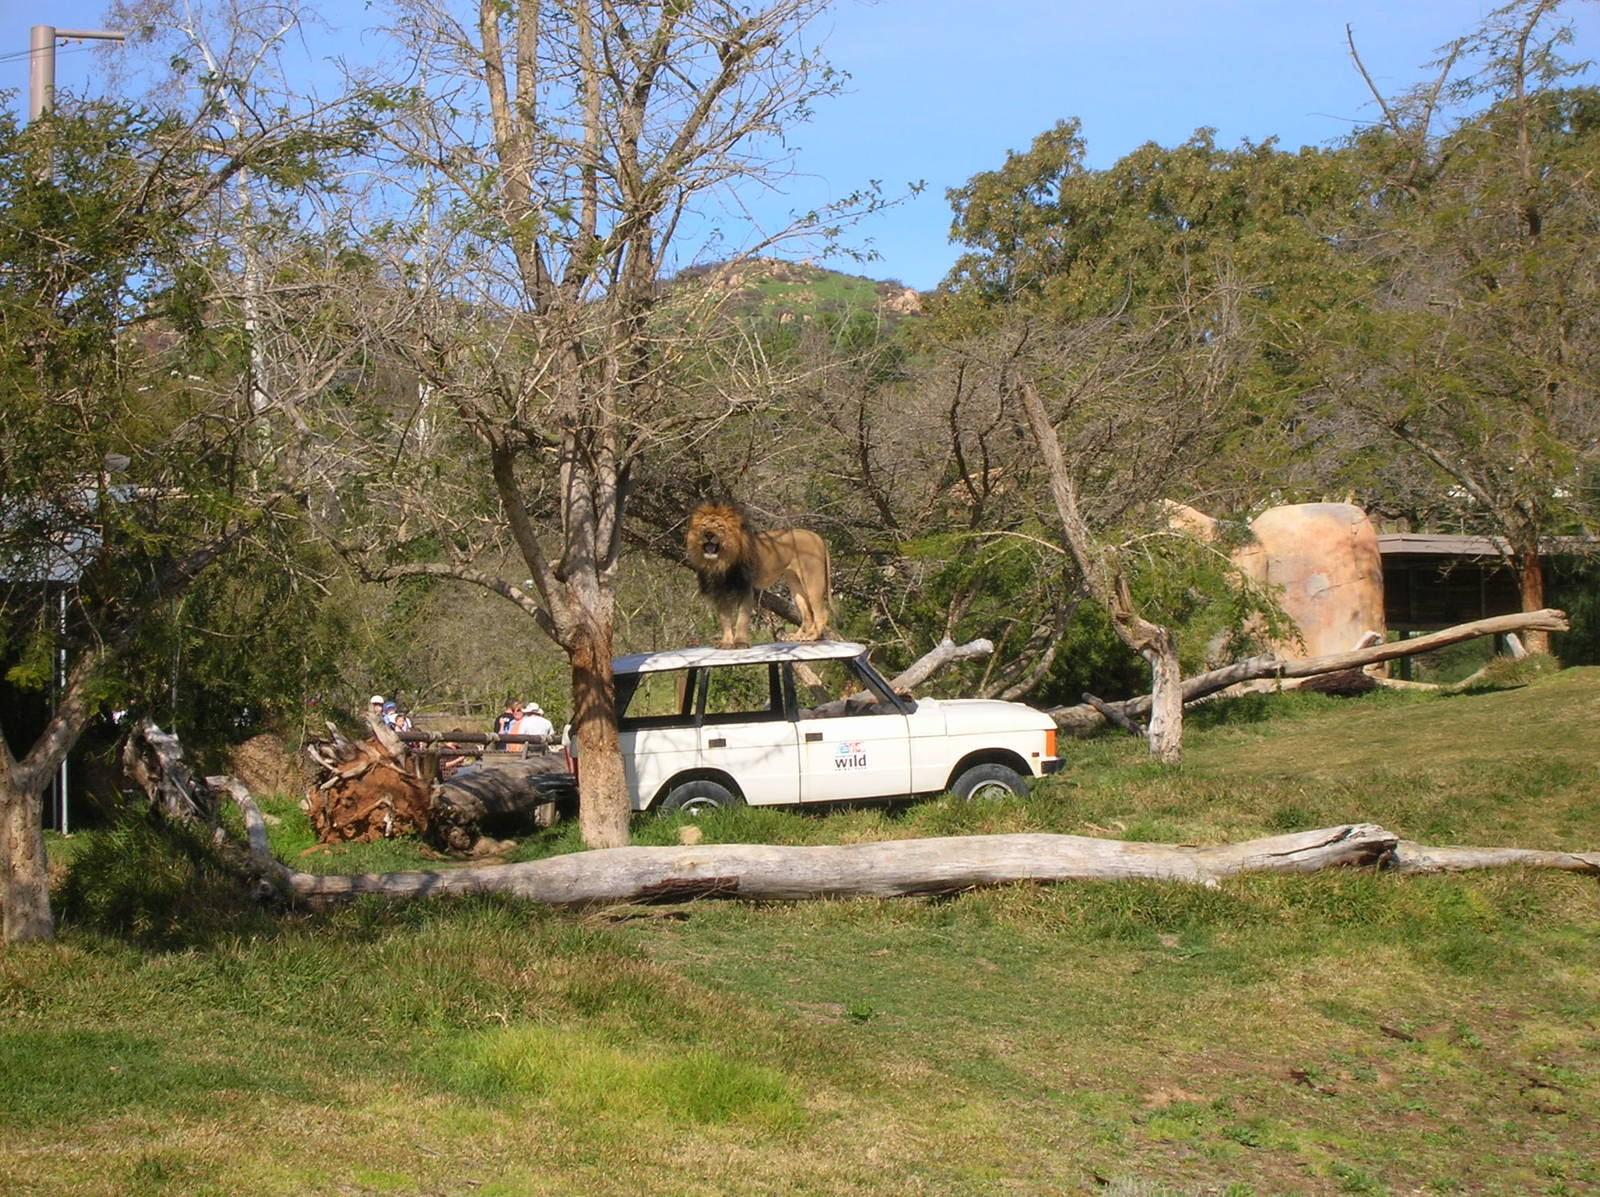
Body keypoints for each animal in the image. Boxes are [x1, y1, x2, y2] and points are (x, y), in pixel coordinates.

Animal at [686, 502, 831, 648]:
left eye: (720, 526)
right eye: (703, 526)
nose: (708, 534)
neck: (719, 562)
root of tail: (818, 536)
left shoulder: (745, 588)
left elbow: (742, 619)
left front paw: (740, 643)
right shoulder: (720, 591)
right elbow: (724, 619)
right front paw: (726, 642)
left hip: (812, 578)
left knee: (822, 613)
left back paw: (811, 636)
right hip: (795, 583)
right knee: (807, 614)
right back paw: (798, 636)